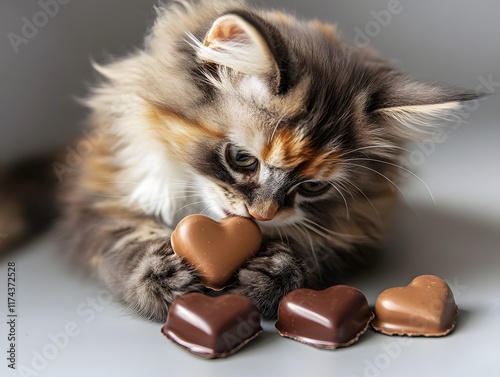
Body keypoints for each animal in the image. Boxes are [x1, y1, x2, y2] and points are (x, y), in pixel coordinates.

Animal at [52, 0, 478, 320]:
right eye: (242, 159)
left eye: (313, 186)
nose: (261, 215)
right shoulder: (98, 196)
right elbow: (123, 236)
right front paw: (164, 275)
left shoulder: (358, 228)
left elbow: (314, 249)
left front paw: (271, 272)